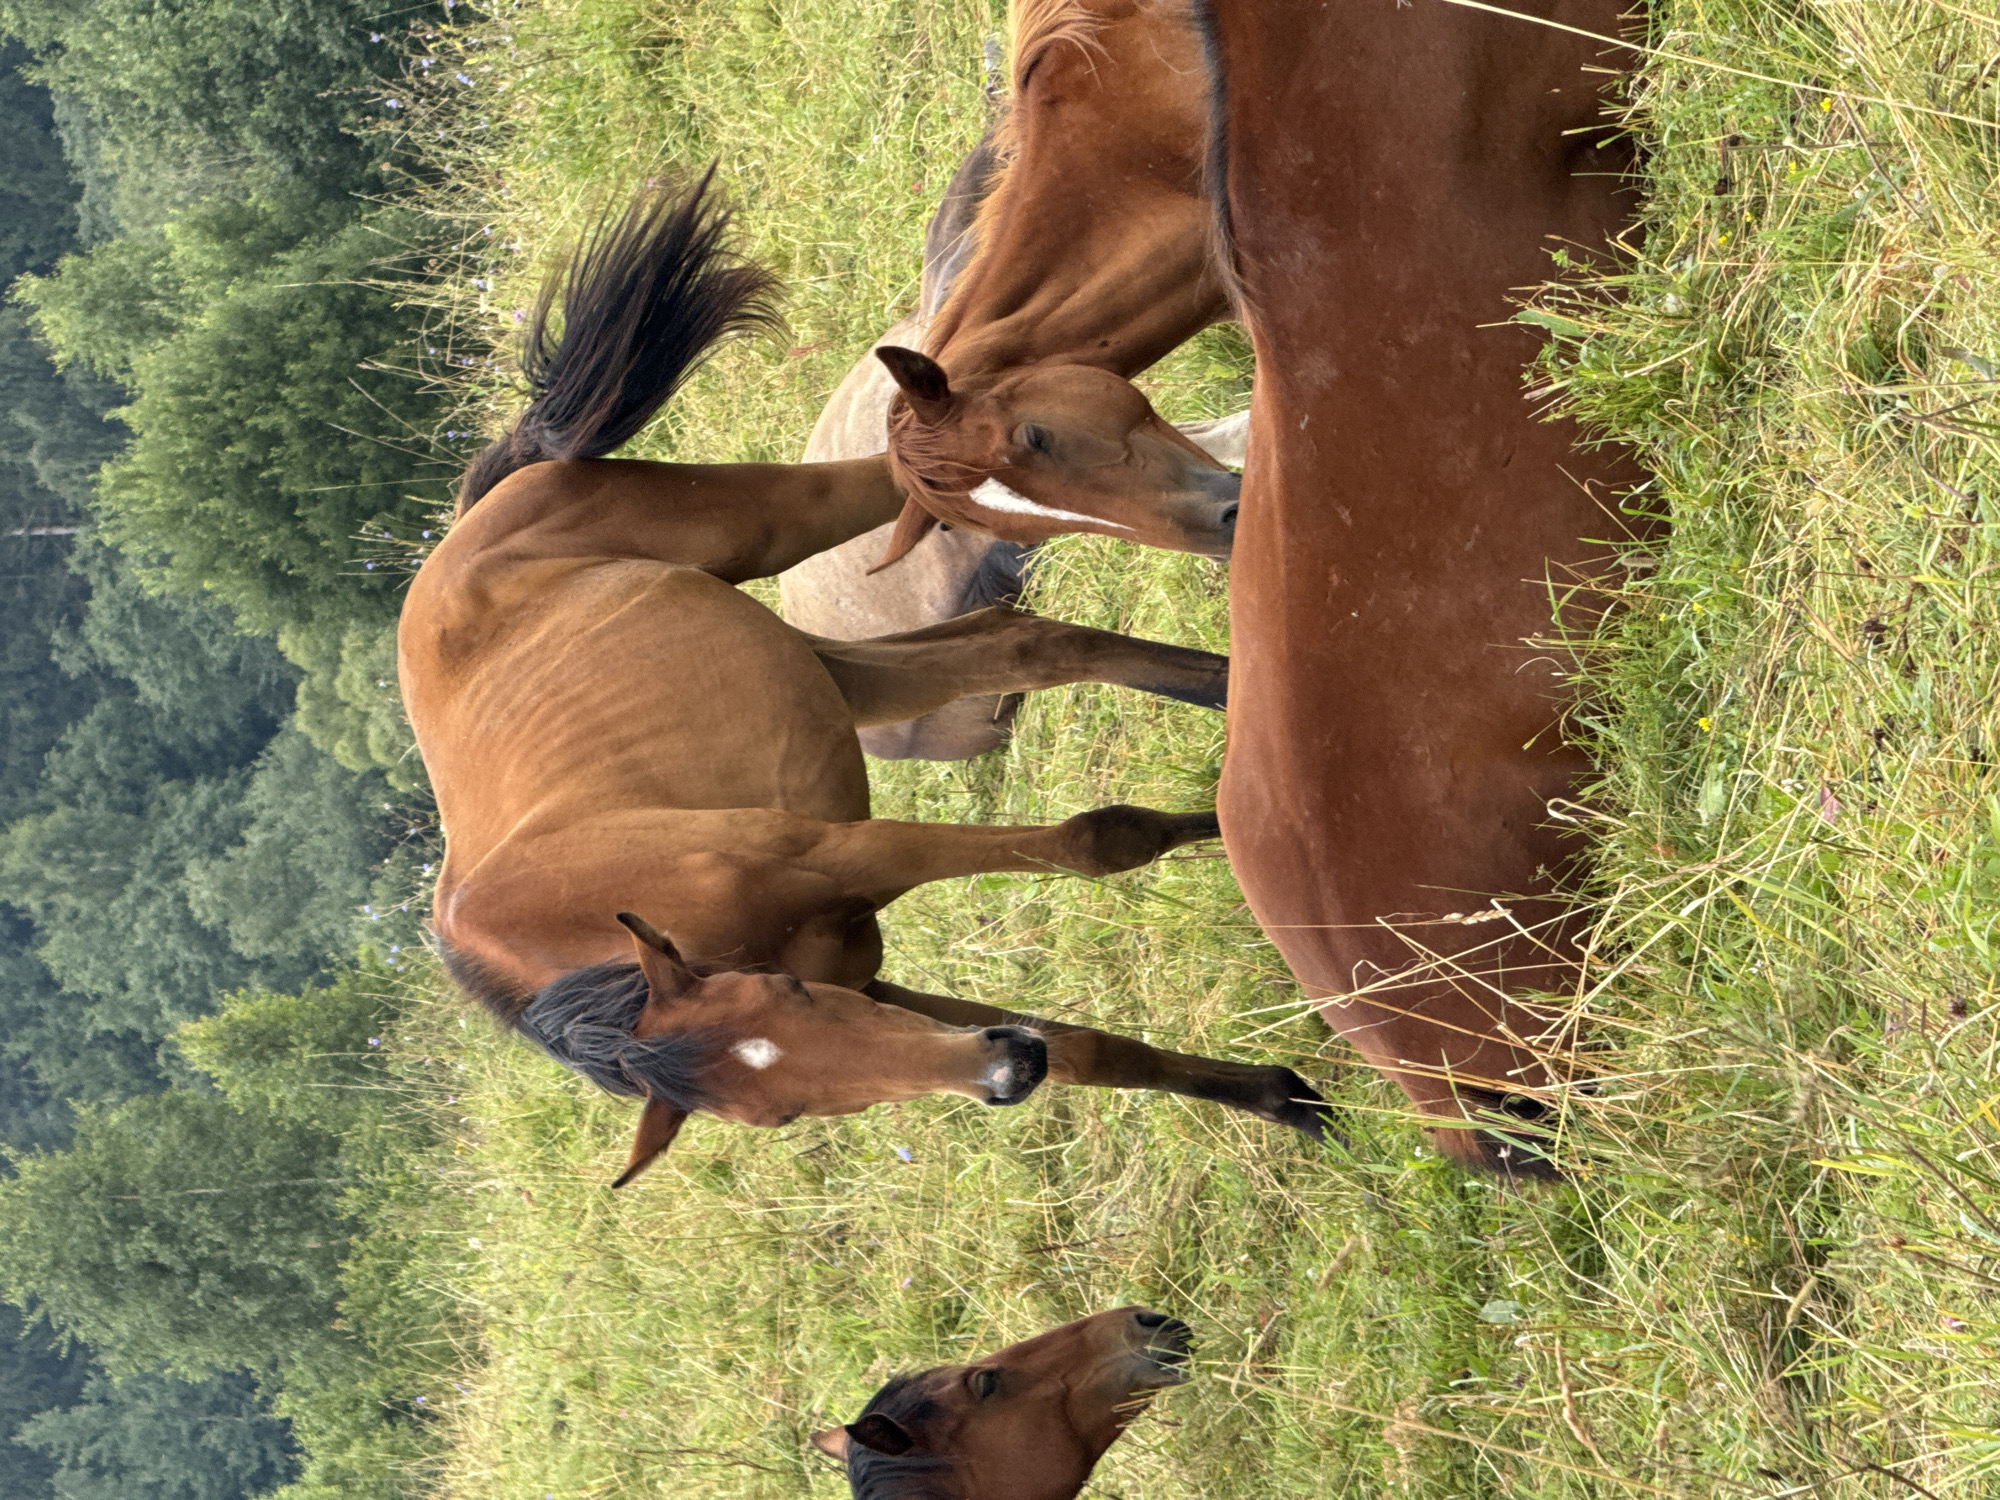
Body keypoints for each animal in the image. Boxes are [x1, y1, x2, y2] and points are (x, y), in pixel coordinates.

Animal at [402, 178, 1332, 1183]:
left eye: (793, 997)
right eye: (791, 1111)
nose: (1004, 1076)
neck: (588, 929)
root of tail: (472, 519)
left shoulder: (851, 853)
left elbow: (1094, 841)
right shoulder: (878, 982)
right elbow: (1084, 1050)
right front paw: (1273, 1095)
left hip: (788, 518)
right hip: (833, 672)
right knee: (1024, 643)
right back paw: (1233, 681)